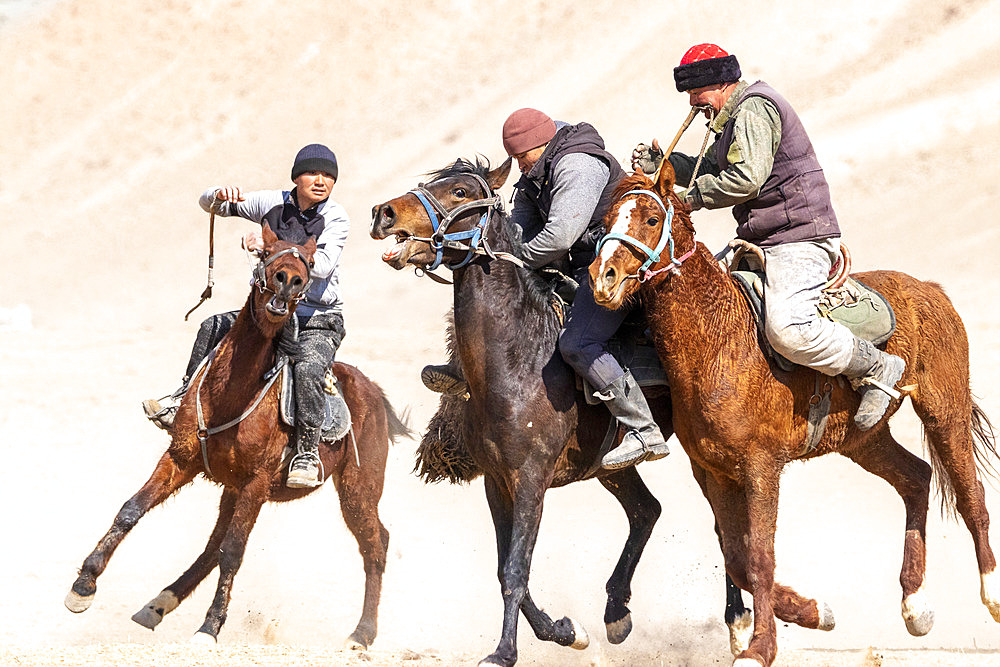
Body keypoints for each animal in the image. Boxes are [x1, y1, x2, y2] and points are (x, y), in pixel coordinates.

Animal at [64, 226, 408, 652]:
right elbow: (131, 510)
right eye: (266, 252)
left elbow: (234, 553)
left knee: (376, 544)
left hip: (358, 488)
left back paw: (362, 634)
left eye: (311, 262)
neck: (230, 395)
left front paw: (209, 628)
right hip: (234, 488)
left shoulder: (257, 484)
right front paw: (83, 586)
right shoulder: (179, 460)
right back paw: (156, 606)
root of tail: (373, 392)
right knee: (212, 546)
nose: (288, 281)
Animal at [372, 159, 748, 664]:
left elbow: (516, 568)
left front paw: (503, 651)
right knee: (646, 511)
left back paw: (738, 623)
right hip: (610, 465)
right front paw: (565, 630)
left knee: (722, 527)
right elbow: (505, 568)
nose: (385, 213)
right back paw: (616, 613)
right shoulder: (497, 482)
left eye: (459, 191)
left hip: (703, 457)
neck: (519, 357)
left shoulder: (531, 478)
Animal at [584, 163, 1000, 667]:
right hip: (863, 439)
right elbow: (737, 558)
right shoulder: (713, 472)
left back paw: (992, 595)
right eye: (606, 221)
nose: (603, 278)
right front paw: (815, 612)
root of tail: (929, 290)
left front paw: (760, 647)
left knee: (969, 495)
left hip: (944, 409)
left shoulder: (761, 467)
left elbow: (760, 557)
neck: (720, 341)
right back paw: (915, 605)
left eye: (649, 218)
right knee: (917, 478)